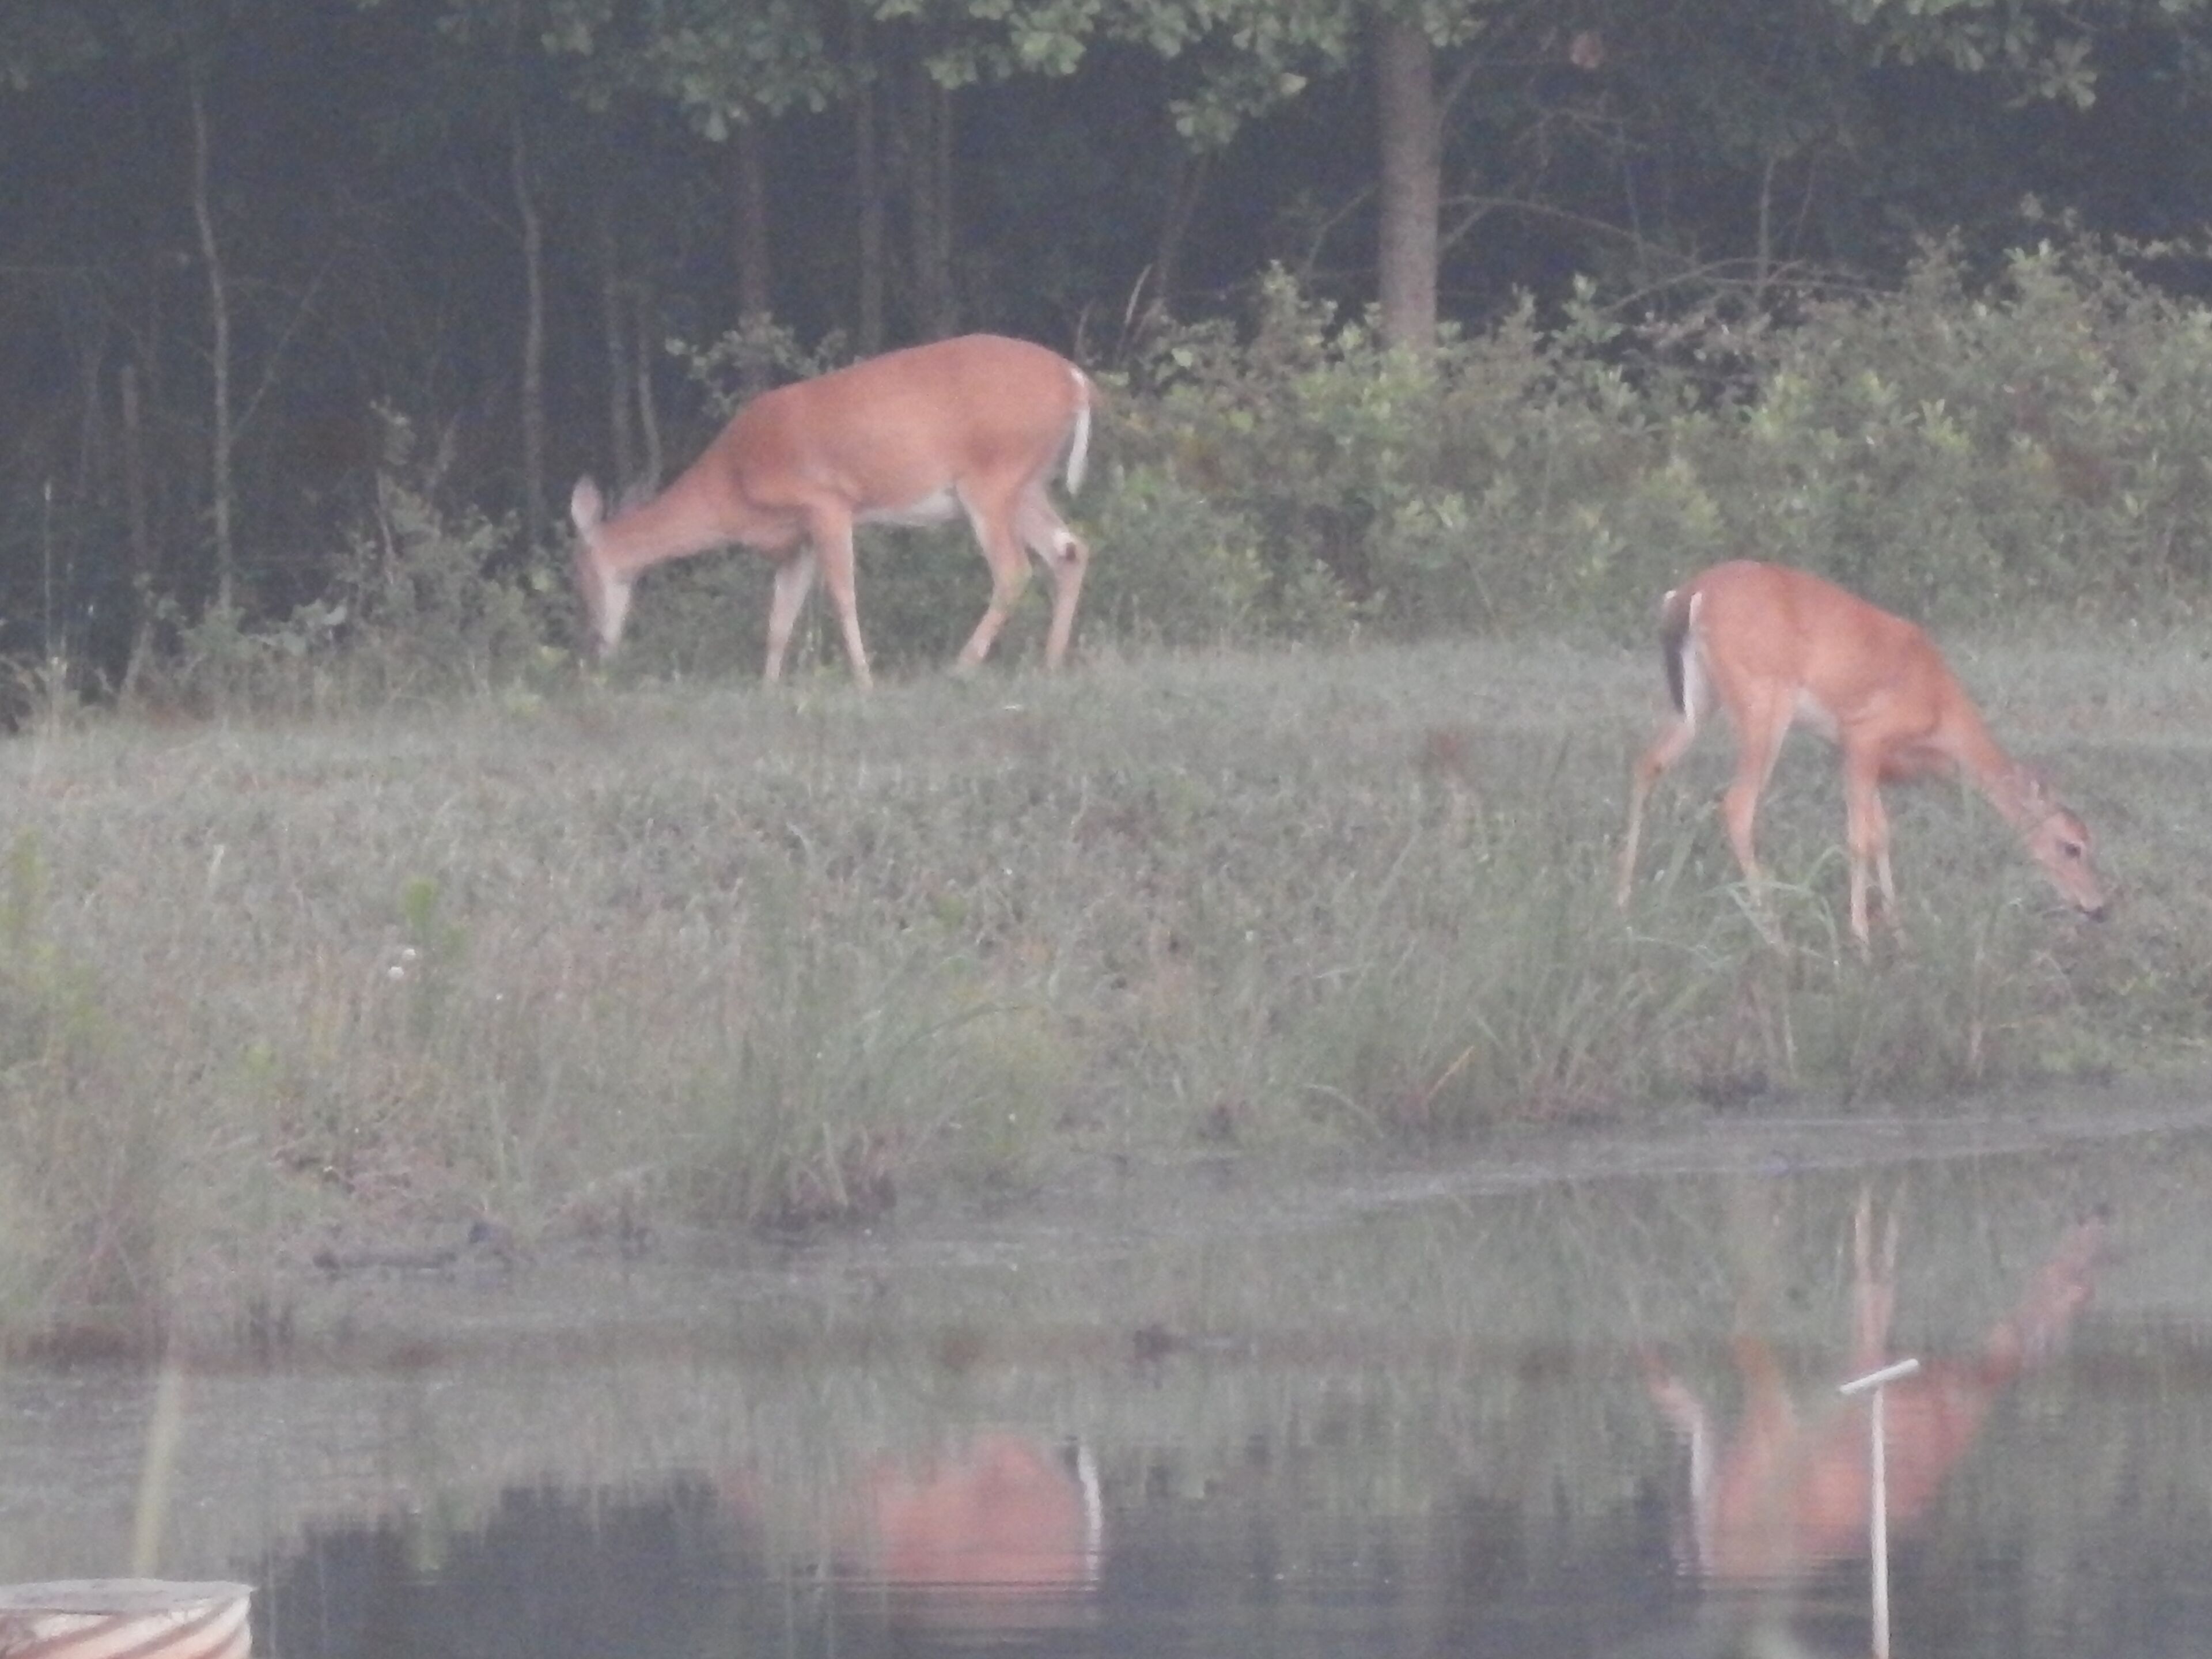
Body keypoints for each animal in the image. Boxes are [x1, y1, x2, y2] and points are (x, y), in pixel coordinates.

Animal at [570, 334, 1094, 689]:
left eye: (582, 575)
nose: (594, 645)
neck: (732, 483)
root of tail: (1076, 382)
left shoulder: (826, 502)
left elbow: (843, 595)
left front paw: (864, 680)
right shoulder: (795, 540)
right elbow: (779, 618)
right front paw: (768, 688)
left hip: (992, 477)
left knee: (1014, 569)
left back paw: (962, 666)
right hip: (1028, 483)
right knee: (1070, 551)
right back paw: (1050, 663)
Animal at [1615, 559, 2107, 953]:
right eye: (2072, 847)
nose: (2099, 907)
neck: (1940, 715)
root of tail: (1689, 594)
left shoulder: (1848, 748)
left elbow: (1882, 833)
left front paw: (1900, 932)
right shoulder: (1866, 736)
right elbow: (1859, 839)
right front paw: (1861, 939)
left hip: (1697, 701)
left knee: (1646, 764)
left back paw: (1624, 900)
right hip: (1763, 700)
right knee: (1737, 806)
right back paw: (1775, 936)